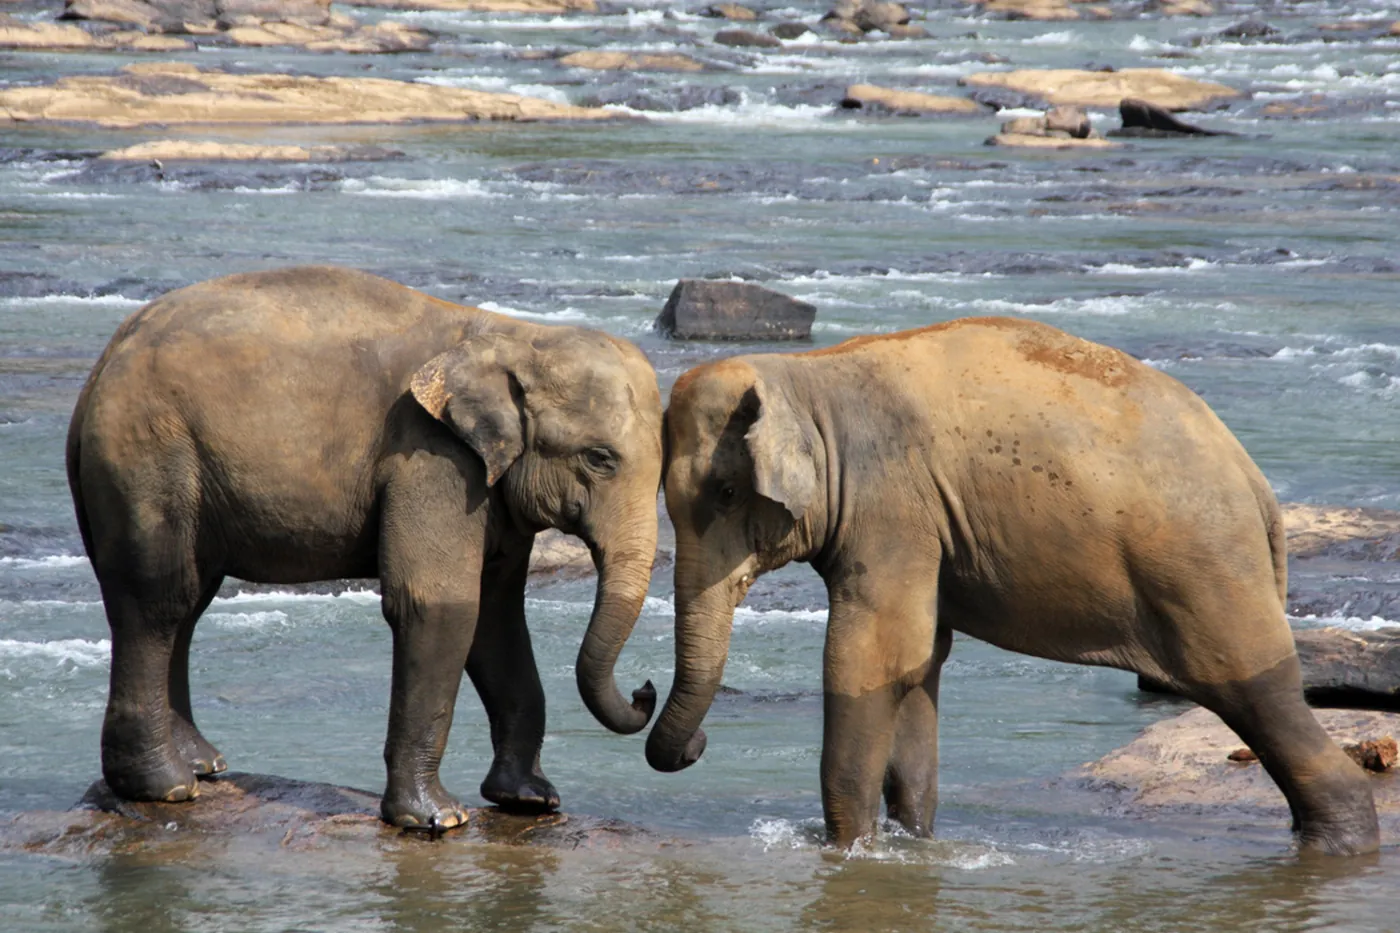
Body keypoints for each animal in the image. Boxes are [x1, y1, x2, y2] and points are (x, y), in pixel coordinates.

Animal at [66, 265, 662, 830]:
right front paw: (438, 820)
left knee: (189, 600)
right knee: (159, 598)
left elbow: (496, 617)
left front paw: (531, 800)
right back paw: (165, 788)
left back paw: (203, 766)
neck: (517, 334)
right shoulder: (431, 457)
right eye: (600, 458)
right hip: (147, 454)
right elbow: (441, 604)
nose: (645, 690)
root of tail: (104, 361)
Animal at [647, 315, 1380, 856]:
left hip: (1207, 567)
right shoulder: (923, 527)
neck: (805, 375)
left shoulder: (893, 508)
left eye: (727, 492)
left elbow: (871, 657)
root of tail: (1256, 483)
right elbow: (921, 663)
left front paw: (849, 850)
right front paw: (912, 843)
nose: (694, 741)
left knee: (1256, 691)